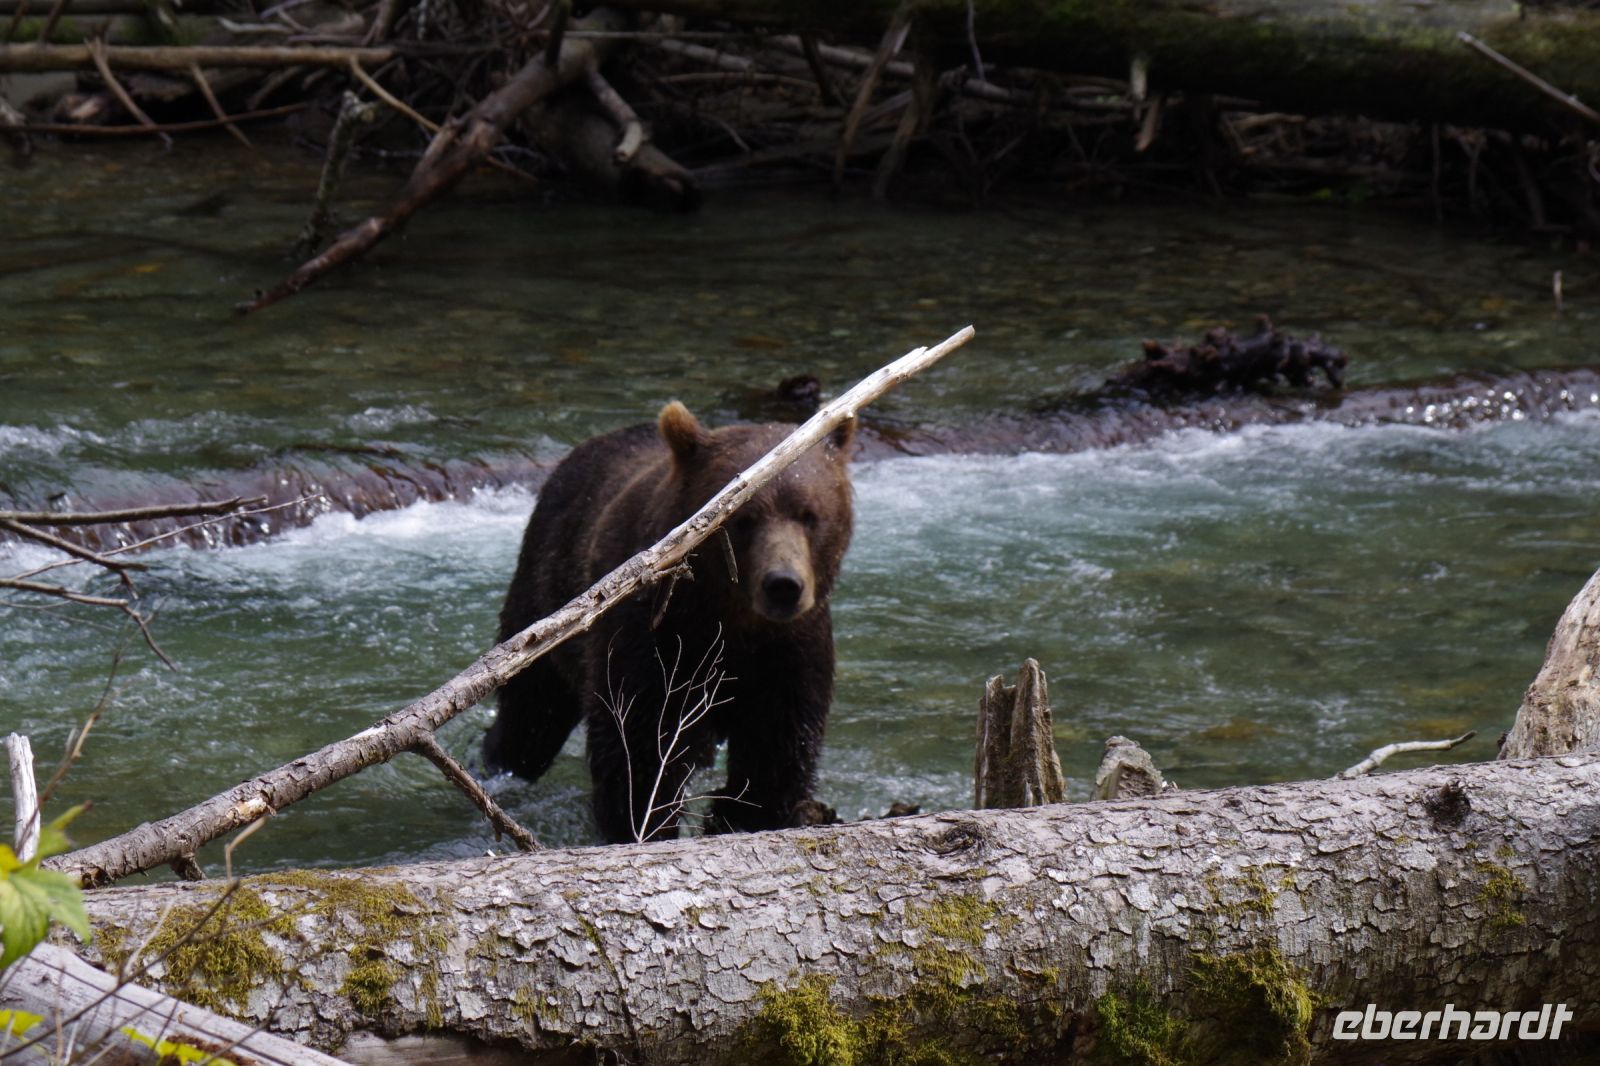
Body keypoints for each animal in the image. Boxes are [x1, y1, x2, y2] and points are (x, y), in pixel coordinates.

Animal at [482, 401, 856, 844]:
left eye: (809, 515)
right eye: (744, 518)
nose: (783, 585)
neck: (728, 618)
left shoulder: (789, 652)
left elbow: (774, 755)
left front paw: (743, 815)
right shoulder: (653, 638)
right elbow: (639, 747)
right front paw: (643, 826)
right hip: (545, 591)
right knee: (531, 715)